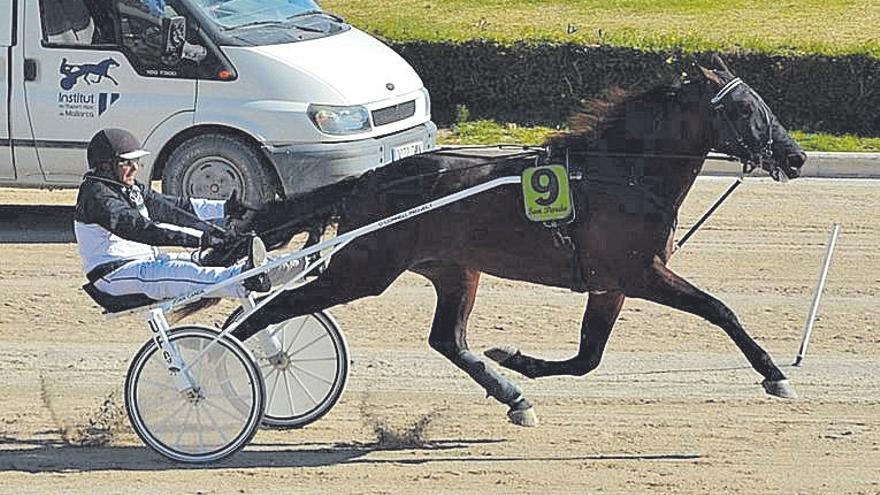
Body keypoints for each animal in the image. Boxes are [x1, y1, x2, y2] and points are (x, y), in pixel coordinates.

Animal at [232, 57, 804, 426]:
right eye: (745, 110)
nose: (795, 157)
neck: (621, 172)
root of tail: (369, 181)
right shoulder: (639, 273)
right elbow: (720, 310)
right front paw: (775, 374)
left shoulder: (610, 284)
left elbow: (588, 356)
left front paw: (515, 359)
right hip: (364, 269)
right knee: (269, 309)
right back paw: (229, 357)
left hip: (454, 269)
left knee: (448, 340)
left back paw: (512, 396)